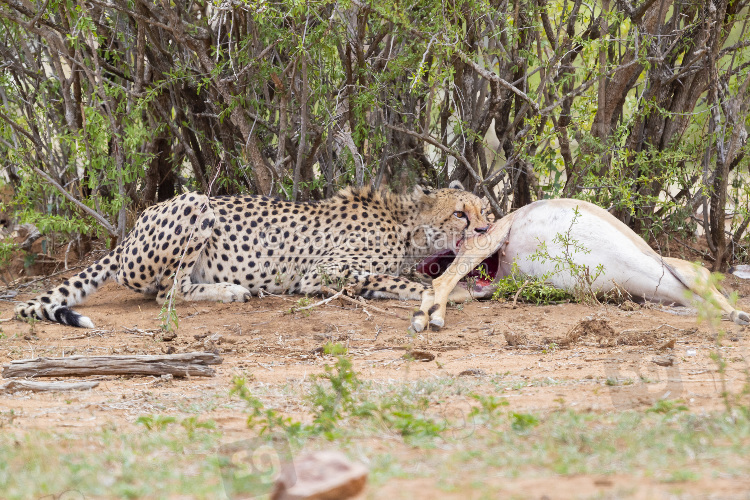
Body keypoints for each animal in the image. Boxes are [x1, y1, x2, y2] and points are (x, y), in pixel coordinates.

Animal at [16, 184, 494, 328]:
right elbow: (398, 279)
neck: (405, 222)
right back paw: (230, 291)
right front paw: (451, 294)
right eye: (460, 213)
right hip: (196, 202)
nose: (486, 229)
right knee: (168, 294)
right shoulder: (323, 272)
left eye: (485, 210)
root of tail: (131, 229)